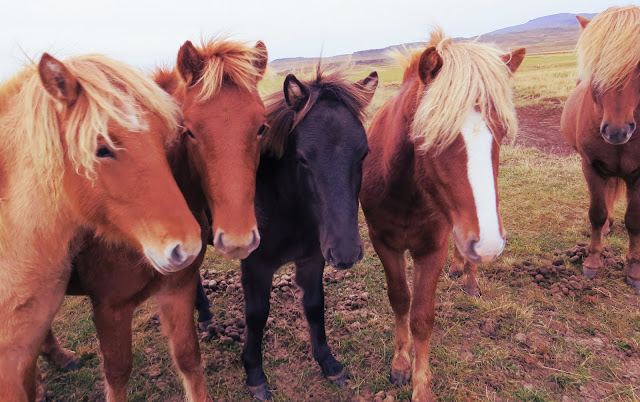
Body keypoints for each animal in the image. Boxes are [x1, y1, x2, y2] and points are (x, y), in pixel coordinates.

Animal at [39, 38, 268, 402]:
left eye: (261, 127)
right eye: (189, 131)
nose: (237, 240)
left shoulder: (178, 288)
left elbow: (188, 358)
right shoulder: (111, 309)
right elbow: (117, 375)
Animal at [199, 69, 376, 398]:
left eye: (364, 154)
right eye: (303, 158)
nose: (346, 252)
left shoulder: (313, 259)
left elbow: (315, 306)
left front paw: (329, 363)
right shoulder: (255, 266)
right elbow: (257, 315)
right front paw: (255, 374)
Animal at [360, 29, 524, 400]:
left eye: (502, 132)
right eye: (432, 137)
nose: (488, 244)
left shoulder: (432, 247)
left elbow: (422, 317)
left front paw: (421, 385)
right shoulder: (384, 243)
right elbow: (400, 300)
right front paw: (400, 363)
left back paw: (469, 278)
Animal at [564, 6, 640, 288]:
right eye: (596, 66)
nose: (616, 132)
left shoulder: (638, 174)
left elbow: (634, 220)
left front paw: (634, 270)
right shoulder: (592, 167)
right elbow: (596, 213)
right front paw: (593, 262)